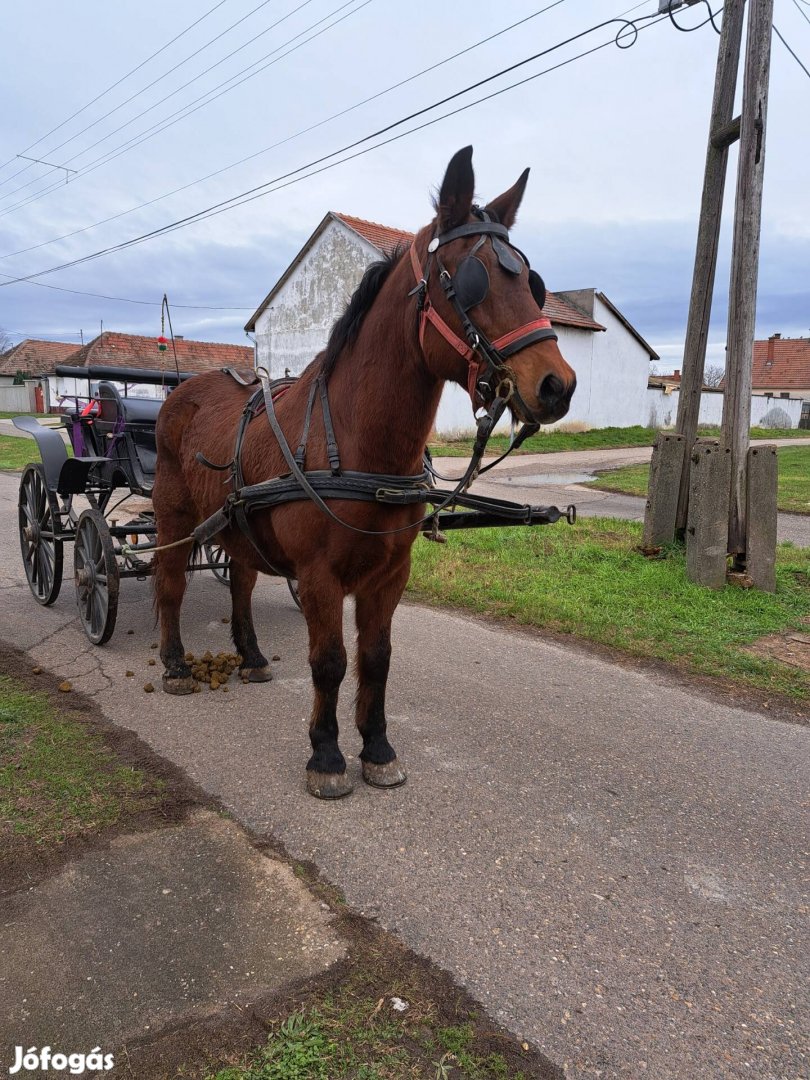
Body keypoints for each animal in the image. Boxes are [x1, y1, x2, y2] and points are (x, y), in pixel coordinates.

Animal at [152, 147, 578, 799]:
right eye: (471, 279)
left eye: (533, 283)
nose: (557, 385)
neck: (356, 444)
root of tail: (182, 391)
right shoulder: (320, 576)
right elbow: (330, 662)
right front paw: (326, 756)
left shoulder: (390, 574)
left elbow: (376, 658)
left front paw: (376, 748)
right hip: (174, 515)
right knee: (170, 582)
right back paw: (174, 663)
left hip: (238, 522)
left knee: (243, 581)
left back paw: (251, 657)